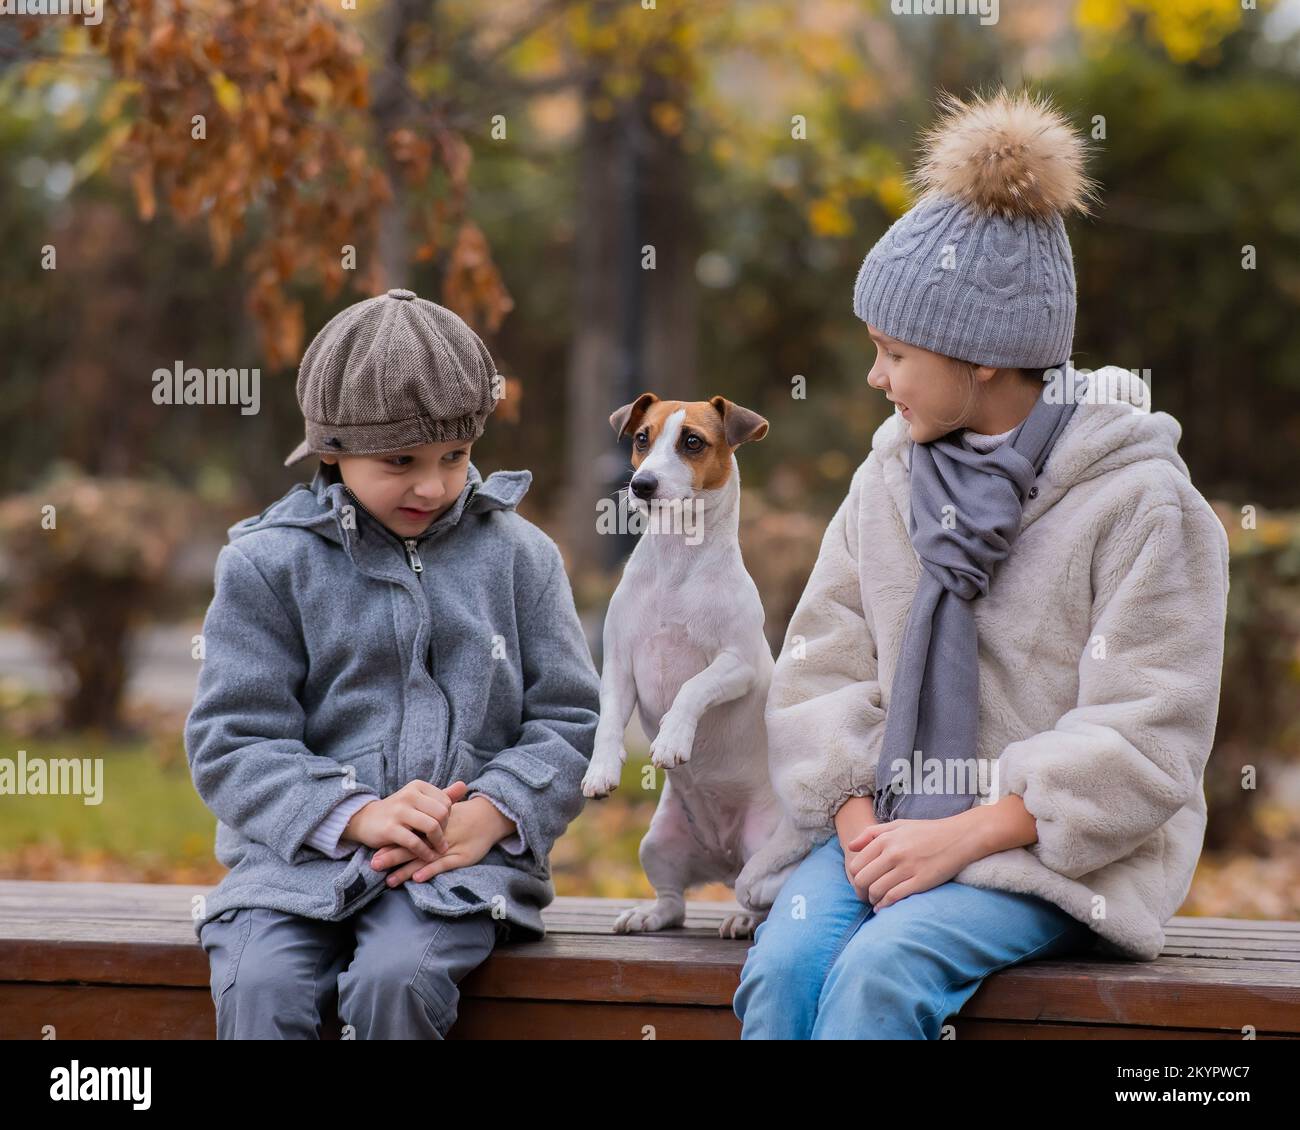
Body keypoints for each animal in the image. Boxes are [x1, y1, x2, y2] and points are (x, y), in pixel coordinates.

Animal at [579, 392, 811, 941]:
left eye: (692, 442)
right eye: (643, 438)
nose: (641, 485)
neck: (676, 564)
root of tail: (722, 859)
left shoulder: (738, 665)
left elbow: (692, 689)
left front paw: (671, 738)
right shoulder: (618, 667)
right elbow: (608, 725)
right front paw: (601, 771)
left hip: (761, 850)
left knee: (757, 895)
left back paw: (744, 918)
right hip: (657, 844)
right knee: (674, 903)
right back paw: (649, 914)